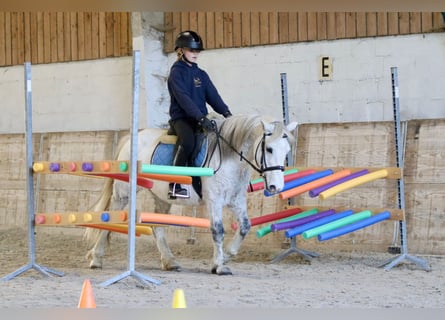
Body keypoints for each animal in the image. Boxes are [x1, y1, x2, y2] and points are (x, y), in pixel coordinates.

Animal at [85, 114, 296, 276]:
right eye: (269, 149)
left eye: (287, 150)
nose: (276, 186)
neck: (231, 158)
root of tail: (131, 137)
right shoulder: (214, 200)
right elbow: (217, 230)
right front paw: (219, 266)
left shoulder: (236, 201)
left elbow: (245, 226)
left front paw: (227, 255)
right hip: (124, 192)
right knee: (110, 217)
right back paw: (96, 259)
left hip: (162, 197)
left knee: (157, 227)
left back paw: (170, 262)